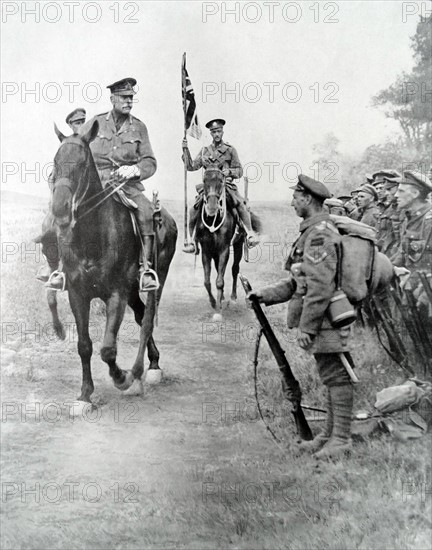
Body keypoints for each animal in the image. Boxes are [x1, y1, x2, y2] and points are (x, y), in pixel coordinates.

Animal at [49, 122, 179, 414]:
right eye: (55, 162)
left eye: (81, 163)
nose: (60, 209)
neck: (92, 236)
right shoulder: (78, 295)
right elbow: (84, 345)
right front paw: (85, 395)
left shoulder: (116, 294)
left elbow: (108, 349)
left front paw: (122, 377)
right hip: (132, 292)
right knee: (141, 316)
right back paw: (152, 362)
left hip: (155, 281)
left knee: (147, 320)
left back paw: (143, 371)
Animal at [195, 167, 260, 320]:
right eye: (204, 181)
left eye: (221, 181)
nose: (212, 208)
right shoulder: (207, 250)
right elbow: (207, 281)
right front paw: (214, 302)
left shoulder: (224, 249)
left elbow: (220, 281)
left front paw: (218, 311)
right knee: (219, 270)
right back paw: (223, 297)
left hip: (238, 245)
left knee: (235, 269)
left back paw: (232, 298)